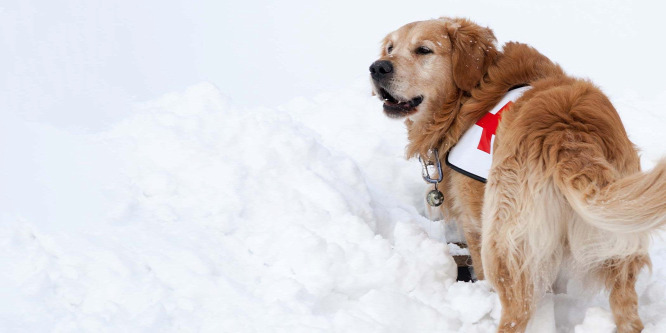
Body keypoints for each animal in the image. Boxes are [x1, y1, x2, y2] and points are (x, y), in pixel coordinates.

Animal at [368, 18, 664, 332]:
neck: (470, 97)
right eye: (390, 48)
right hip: (618, 243)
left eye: (423, 50)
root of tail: (569, 133)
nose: (378, 67)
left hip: (503, 242)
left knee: (516, 311)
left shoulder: (475, 223)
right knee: (627, 310)